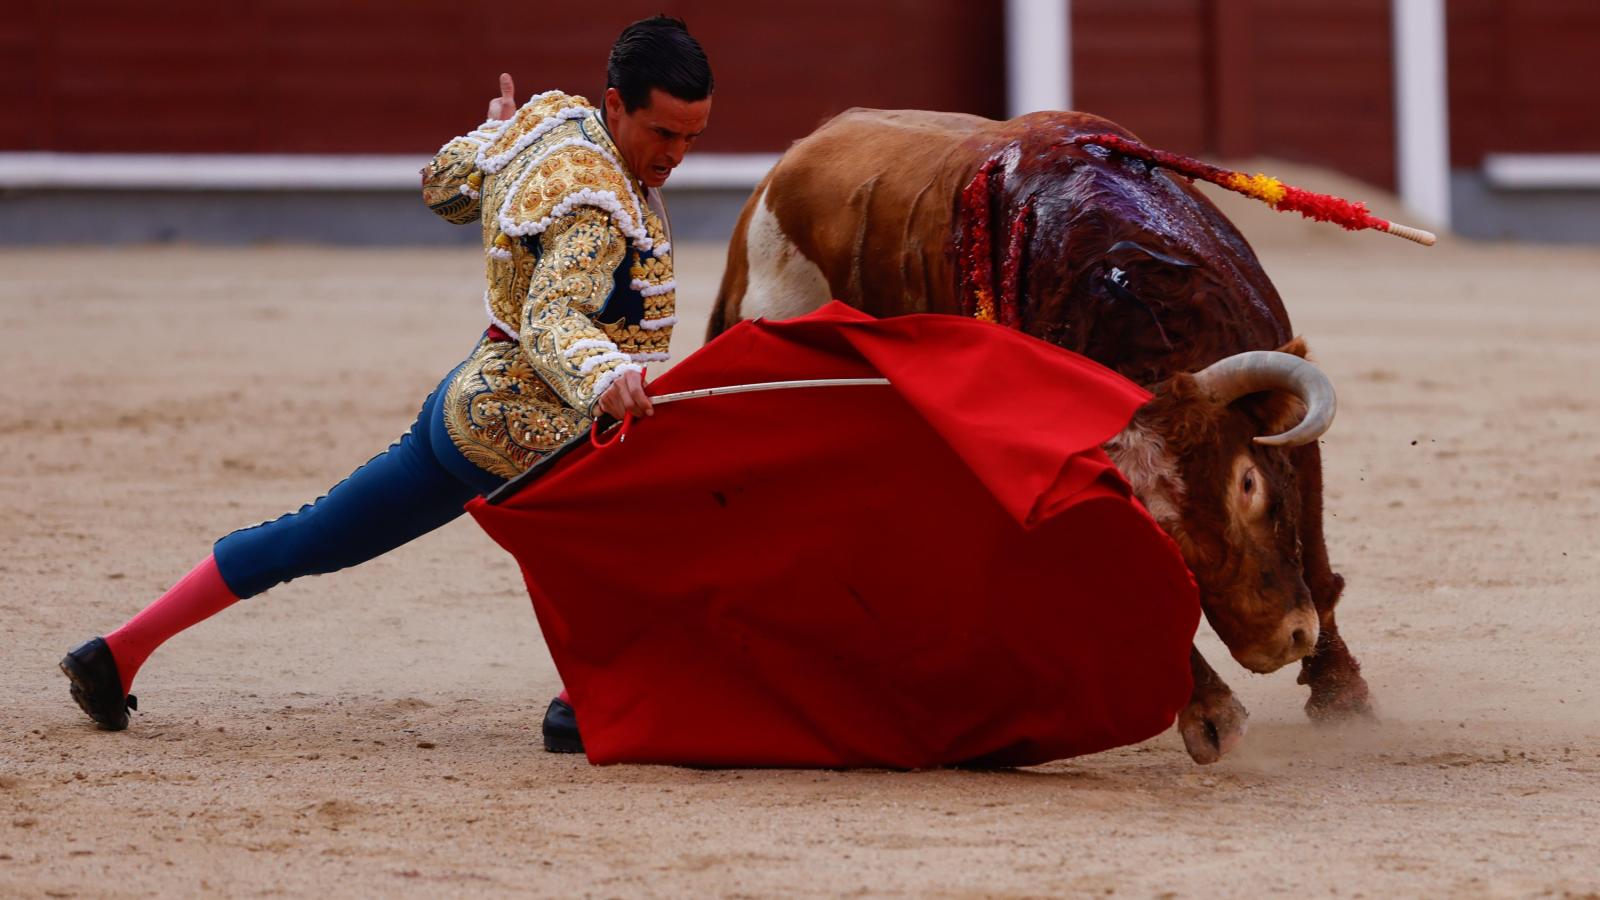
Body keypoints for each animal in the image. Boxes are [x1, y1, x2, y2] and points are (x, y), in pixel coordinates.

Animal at [707, 108, 1382, 759]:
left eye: (1247, 483)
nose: (1276, 643)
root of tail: (772, 182)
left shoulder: (1291, 433)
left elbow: (1316, 559)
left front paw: (1342, 699)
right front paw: (1211, 718)